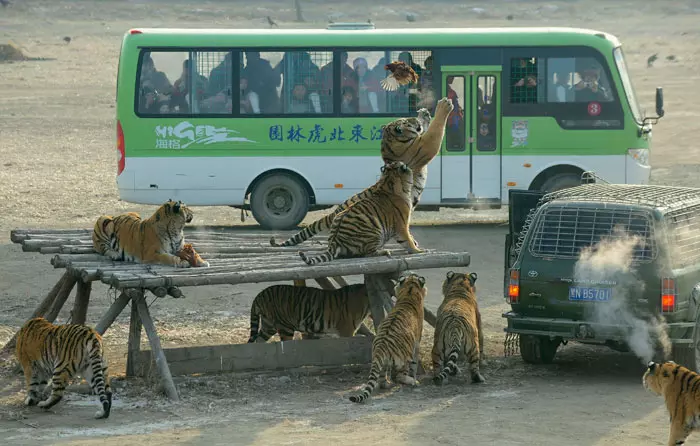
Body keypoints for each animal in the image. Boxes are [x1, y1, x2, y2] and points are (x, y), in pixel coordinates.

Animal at [348, 272, 426, 404]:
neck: (409, 291)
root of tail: (381, 346)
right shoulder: (417, 342)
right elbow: (415, 364)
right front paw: (414, 376)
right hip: (404, 357)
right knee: (398, 376)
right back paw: (412, 381)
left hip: (381, 362)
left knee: (381, 380)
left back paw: (388, 384)